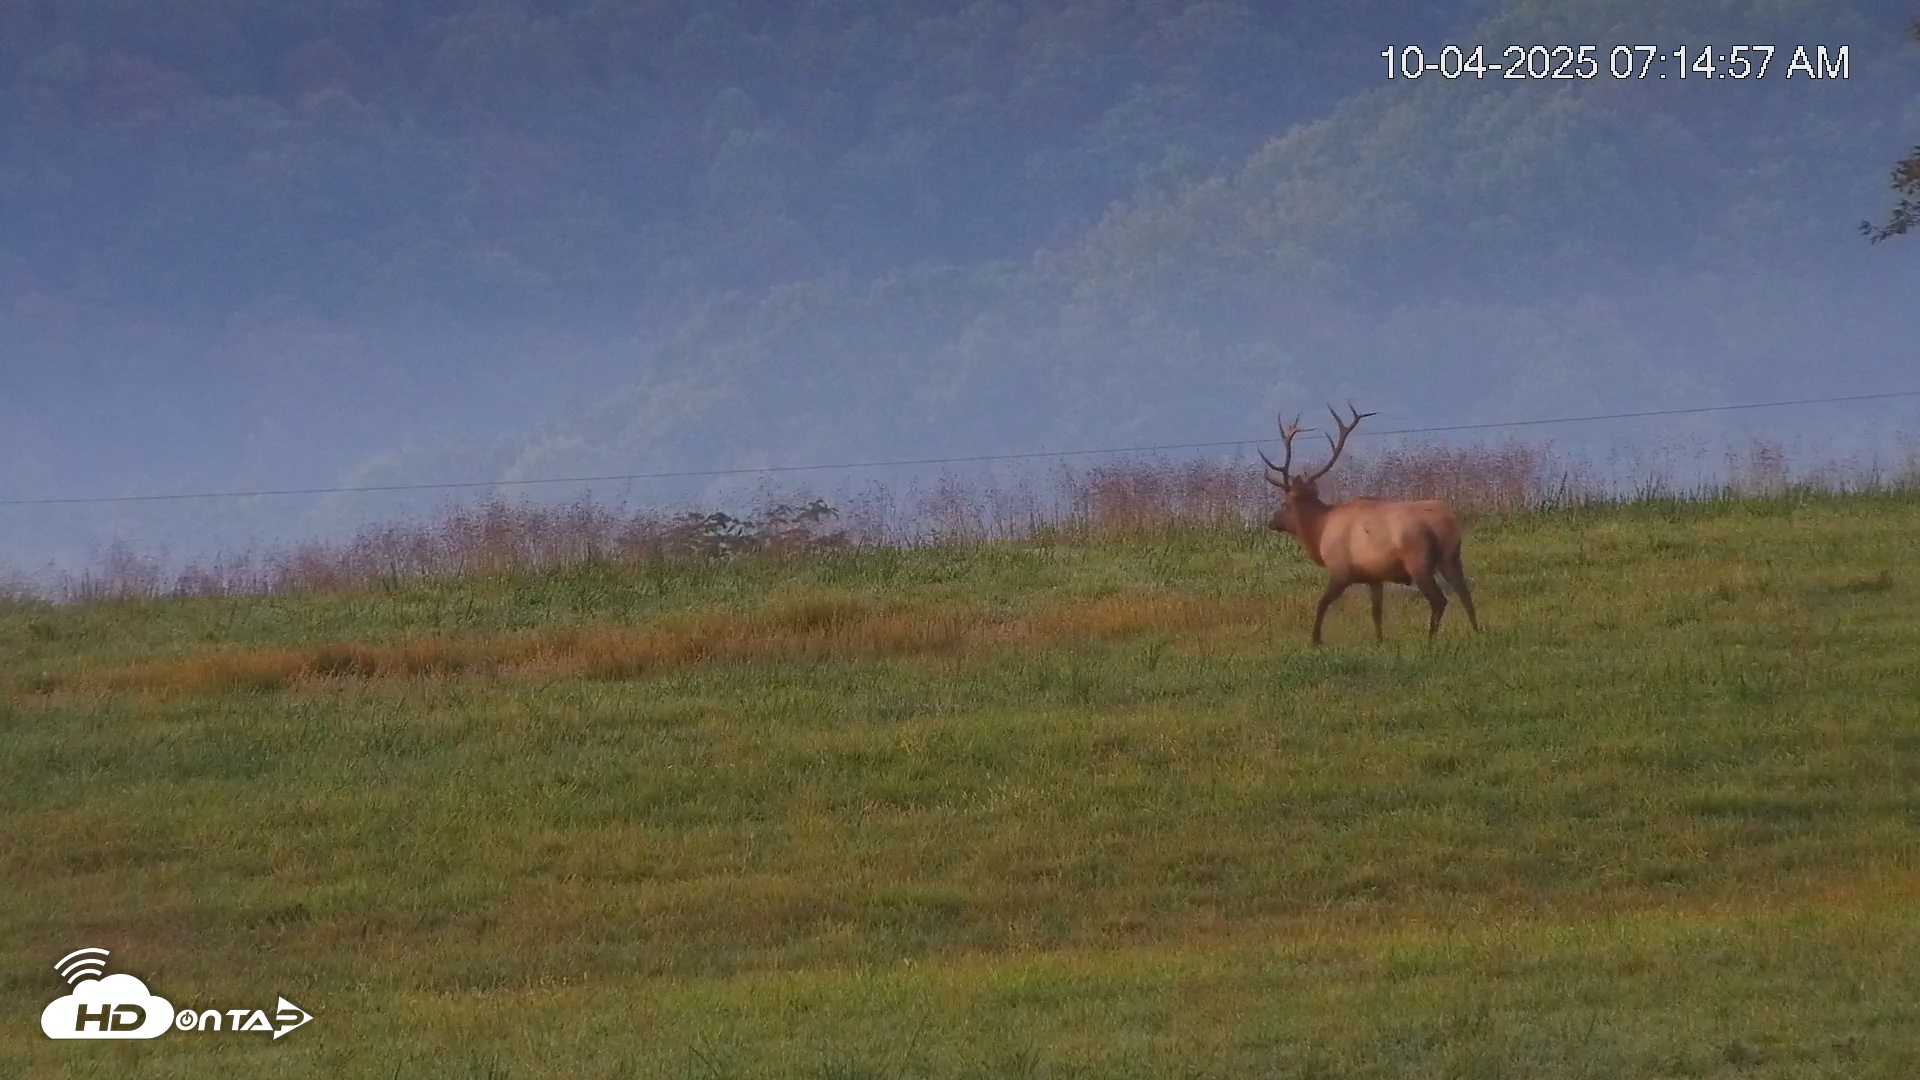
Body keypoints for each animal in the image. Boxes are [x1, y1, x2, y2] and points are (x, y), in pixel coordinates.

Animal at [1259, 404, 1481, 645]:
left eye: (1285, 503)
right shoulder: (1375, 577)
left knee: (1439, 600)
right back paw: (1477, 631)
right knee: (1465, 594)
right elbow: (1376, 612)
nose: (1272, 522)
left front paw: (1315, 639)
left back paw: (1430, 640)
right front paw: (1379, 641)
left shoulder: (1342, 571)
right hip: (1451, 558)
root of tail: (1445, 523)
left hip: (1418, 561)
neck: (1319, 532)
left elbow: (1322, 603)